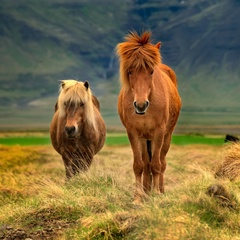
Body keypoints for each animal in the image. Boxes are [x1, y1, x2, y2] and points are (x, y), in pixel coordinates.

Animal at [116, 31, 182, 202]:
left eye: (151, 71)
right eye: (130, 71)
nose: (140, 105)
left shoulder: (159, 132)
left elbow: (157, 165)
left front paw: (157, 195)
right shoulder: (133, 133)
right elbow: (139, 165)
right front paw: (138, 197)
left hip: (166, 136)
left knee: (161, 162)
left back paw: (160, 190)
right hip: (145, 139)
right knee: (146, 164)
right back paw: (146, 191)